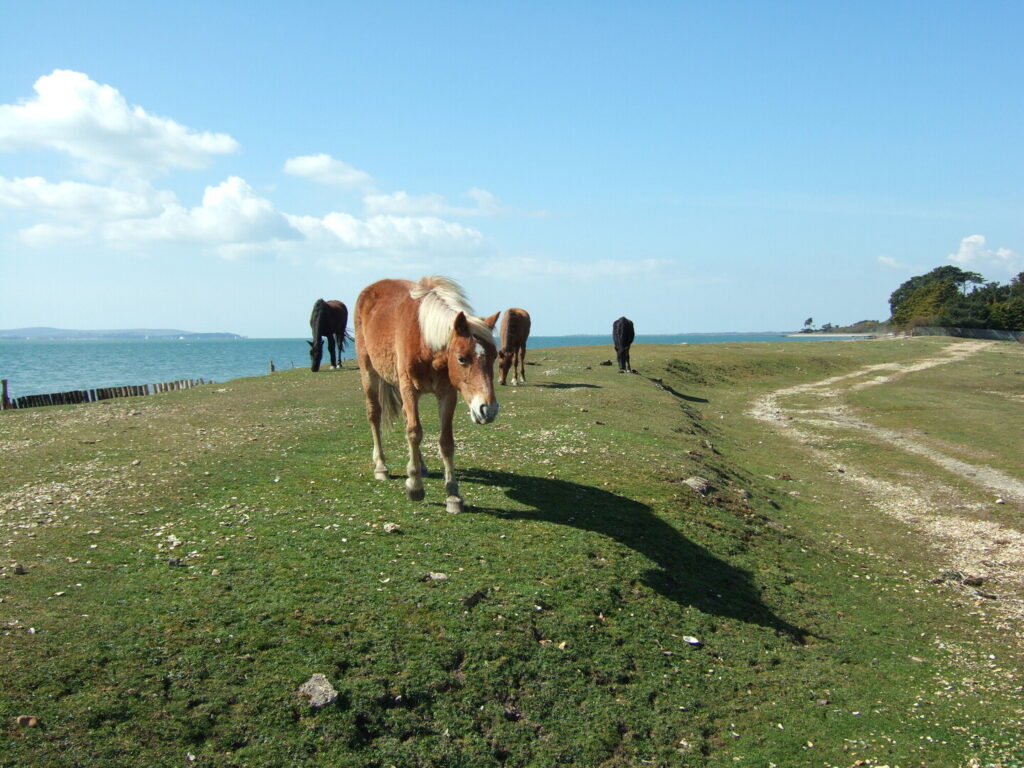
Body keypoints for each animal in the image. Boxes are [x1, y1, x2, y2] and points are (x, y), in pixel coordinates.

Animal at [354, 276, 500, 513]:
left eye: (495, 356)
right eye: (462, 358)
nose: (488, 409)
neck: (424, 340)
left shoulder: (447, 394)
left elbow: (446, 442)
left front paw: (453, 495)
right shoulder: (408, 389)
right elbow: (414, 432)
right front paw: (414, 486)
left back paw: (420, 465)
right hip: (369, 372)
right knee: (374, 415)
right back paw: (381, 466)